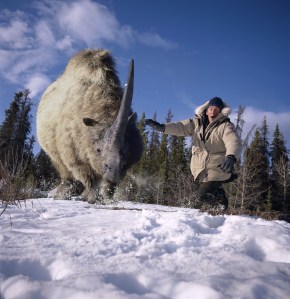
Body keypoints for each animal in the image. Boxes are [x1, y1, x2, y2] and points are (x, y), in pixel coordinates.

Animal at [36, 49, 143, 204]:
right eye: (97, 150)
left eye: (127, 149)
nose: (115, 171)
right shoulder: (74, 150)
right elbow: (87, 177)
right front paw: (90, 197)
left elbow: (108, 183)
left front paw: (105, 196)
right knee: (59, 162)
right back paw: (63, 193)